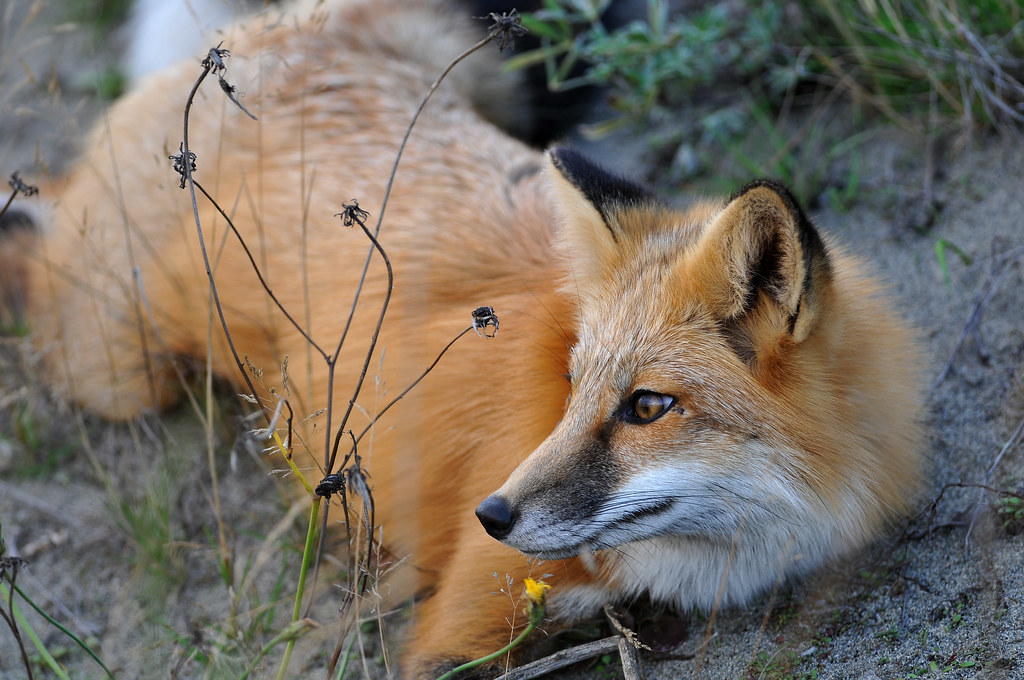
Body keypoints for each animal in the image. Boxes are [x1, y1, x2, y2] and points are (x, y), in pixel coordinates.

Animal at [5, 0, 925, 676]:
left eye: (648, 406)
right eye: (572, 383)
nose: (490, 514)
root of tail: (287, 29)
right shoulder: (466, 619)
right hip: (114, 365)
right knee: (42, 258)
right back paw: (17, 215)